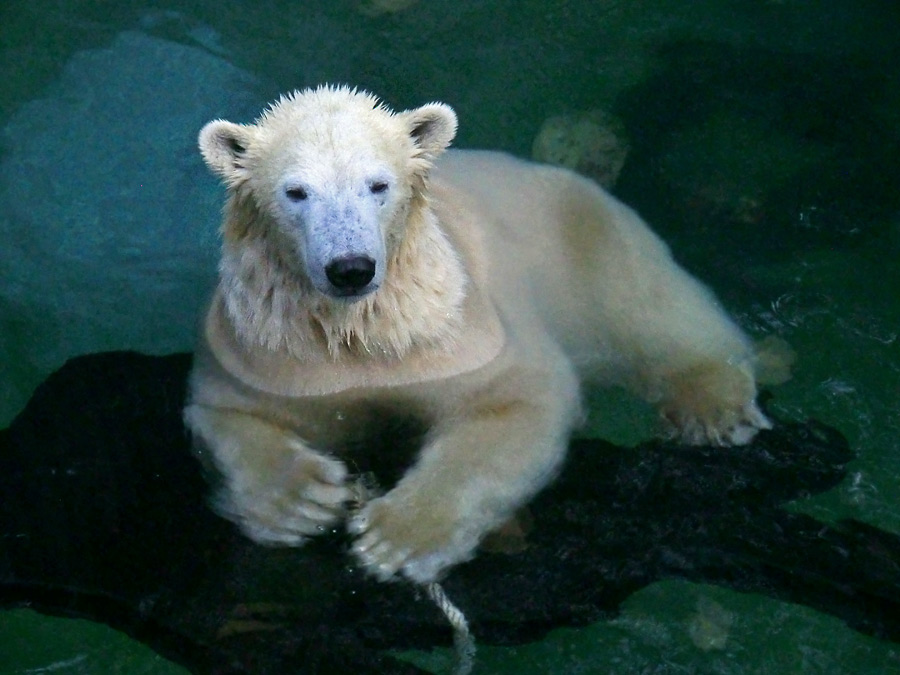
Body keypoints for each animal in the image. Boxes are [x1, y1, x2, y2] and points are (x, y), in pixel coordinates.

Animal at [185, 83, 772, 580]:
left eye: (378, 185)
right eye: (296, 192)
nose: (350, 267)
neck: (361, 326)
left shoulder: (461, 336)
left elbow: (517, 400)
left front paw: (400, 537)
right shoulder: (265, 355)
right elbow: (221, 415)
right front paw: (301, 498)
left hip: (586, 248)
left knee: (651, 309)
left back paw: (714, 407)